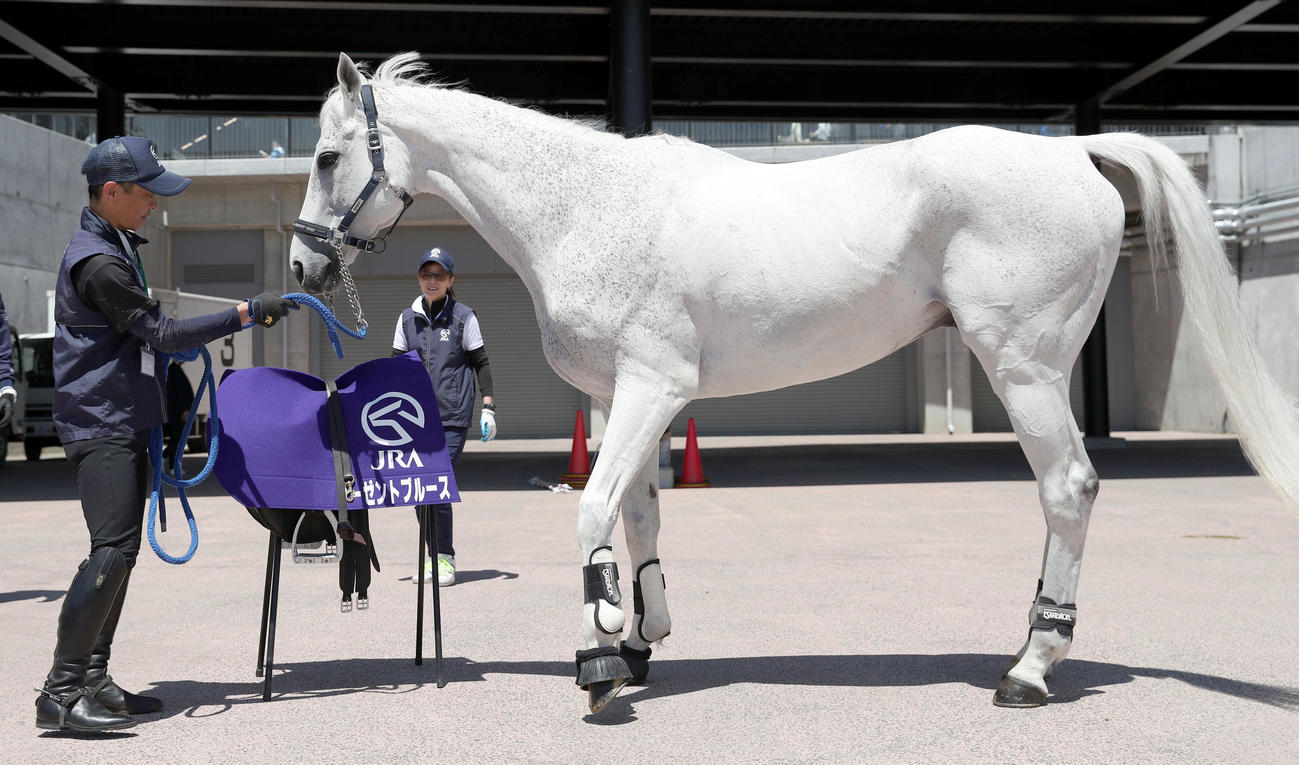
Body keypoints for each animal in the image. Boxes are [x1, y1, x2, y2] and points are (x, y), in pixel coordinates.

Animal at [289, 52, 1299, 713]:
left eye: (329, 156)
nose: (302, 267)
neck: (587, 205)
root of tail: (1069, 154)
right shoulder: (625, 399)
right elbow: (639, 514)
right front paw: (640, 640)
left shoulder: (652, 387)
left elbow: (590, 511)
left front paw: (599, 659)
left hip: (1024, 367)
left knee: (1067, 488)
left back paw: (1029, 667)